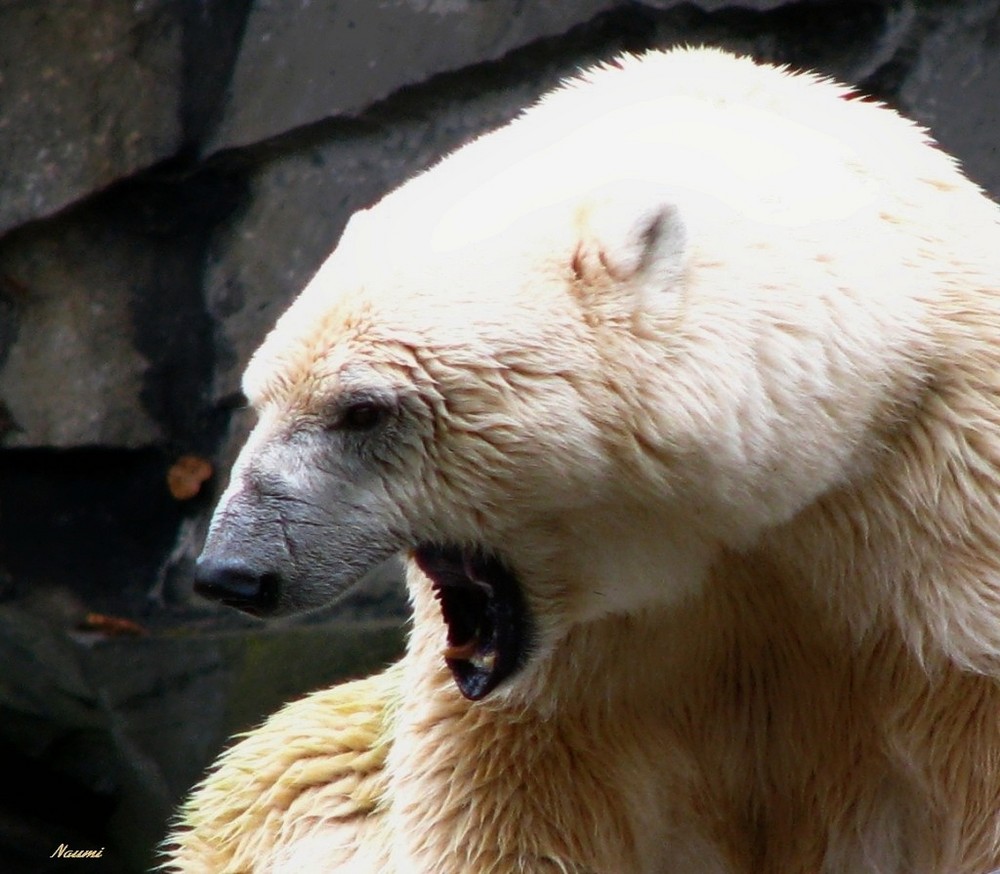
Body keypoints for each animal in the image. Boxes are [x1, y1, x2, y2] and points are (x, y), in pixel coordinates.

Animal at [164, 49, 1000, 872]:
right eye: (261, 397)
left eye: (362, 408)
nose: (234, 571)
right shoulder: (567, 676)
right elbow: (502, 812)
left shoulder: (942, 518)